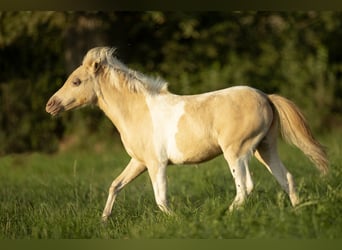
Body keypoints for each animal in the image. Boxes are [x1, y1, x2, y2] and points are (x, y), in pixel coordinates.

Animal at [45, 46, 328, 221]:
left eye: (76, 81)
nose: (50, 105)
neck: (139, 111)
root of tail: (266, 96)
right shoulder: (139, 162)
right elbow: (115, 185)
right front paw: (103, 221)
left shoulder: (156, 164)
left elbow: (161, 199)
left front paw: (179, 220)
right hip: (264, 148)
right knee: (286, 178)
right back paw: (298, 212)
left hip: (236, 152)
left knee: (245, 187)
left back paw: (223, 216)